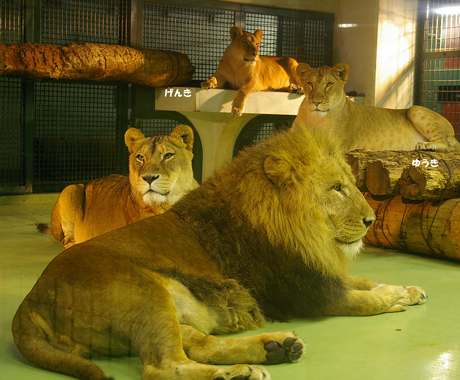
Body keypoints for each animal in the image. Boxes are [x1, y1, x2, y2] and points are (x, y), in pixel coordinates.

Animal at [294, 62, 460, 151]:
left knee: (447, 146)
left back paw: (426, 145)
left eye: (329, 84)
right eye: (310, 84)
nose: (316, 102)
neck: (315, 118)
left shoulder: (337, 145)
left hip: (415, 109)